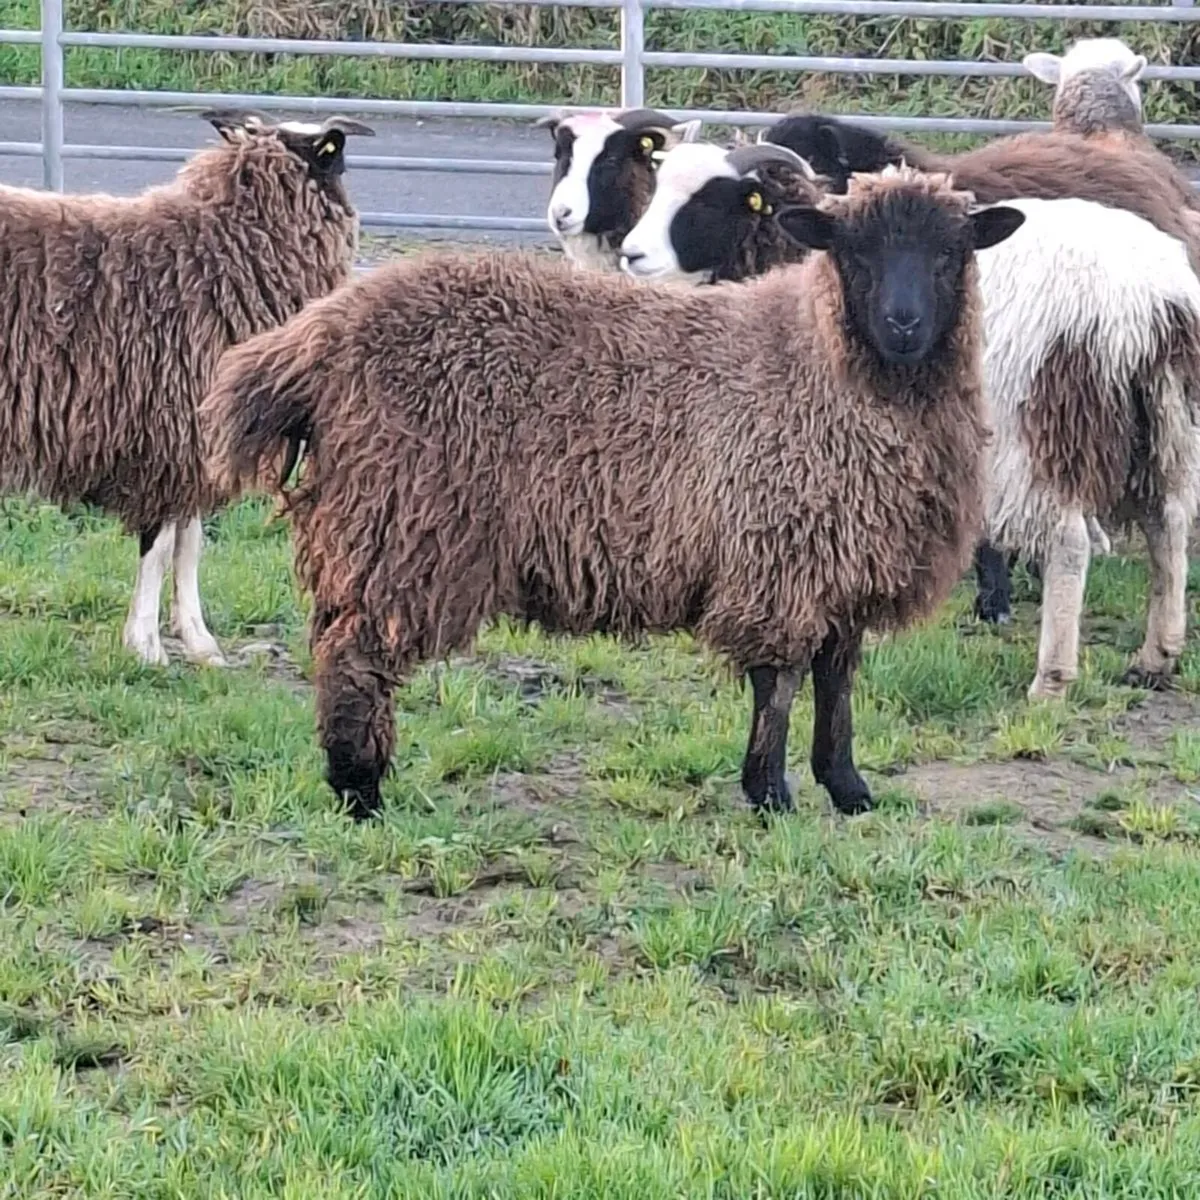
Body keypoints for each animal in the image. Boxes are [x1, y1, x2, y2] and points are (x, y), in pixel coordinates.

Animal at [0, 109, 370, 668]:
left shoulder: (198, 446)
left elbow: (189, 543)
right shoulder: (165, 440)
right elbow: (158, 546)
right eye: (331, 152)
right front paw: (146, 647)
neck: (225, 250)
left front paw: (199, 642)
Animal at [198, 165, 1025, 820]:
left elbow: (837, 680)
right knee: (355, 652)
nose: (903, 325)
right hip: (404, 520)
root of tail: (319, 337)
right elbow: (780, 683)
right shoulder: (778, 556)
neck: (816, 358)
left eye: (952, 254)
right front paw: (770, 792)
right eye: (853, 253)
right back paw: (360, 789)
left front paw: (846, 785)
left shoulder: (844, 561)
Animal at [622, 144, 1200, 699]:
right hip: (1163, 422)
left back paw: (1052, 678)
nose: (630, 255)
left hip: (1042, 429)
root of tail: (1144, 304)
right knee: (1168, 523)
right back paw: (1157, 656)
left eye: (711, 198)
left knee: (1071, 541)